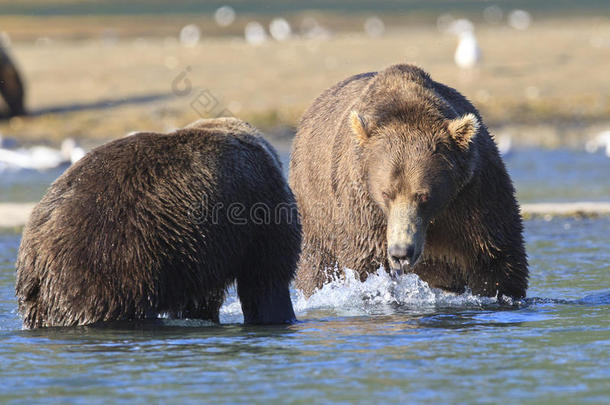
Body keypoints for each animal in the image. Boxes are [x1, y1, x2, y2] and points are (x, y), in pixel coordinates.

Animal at [14, 117, 300, 328]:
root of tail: (35, 256)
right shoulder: (259, 213)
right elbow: (267, 278)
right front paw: (279, 315)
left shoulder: (201, 253)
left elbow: (199, 300)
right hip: (109, 261)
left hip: (39, 294)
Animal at [290, 62, 528, 296]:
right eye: (386, 193)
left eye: (423, 195)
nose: (401, 252)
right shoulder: (363, 209)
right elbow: (365, 264)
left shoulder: (472, 197)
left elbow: (494, 260)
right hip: (316, 210)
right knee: (316, 264)